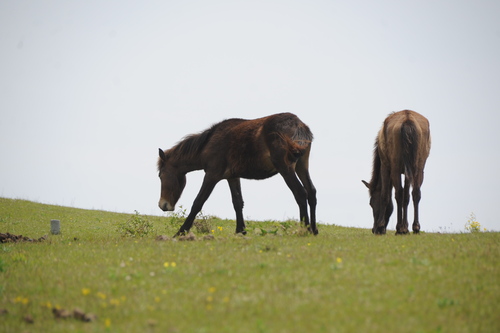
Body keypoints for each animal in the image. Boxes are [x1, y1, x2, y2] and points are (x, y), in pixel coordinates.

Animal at [158, 113, 318, 236]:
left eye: (160, 175)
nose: (163, 205)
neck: (208, 144)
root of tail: (298, 124)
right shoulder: (232, 177)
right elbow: (237, 202)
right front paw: (240, 231)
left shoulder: (211, 175)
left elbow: (198, 202)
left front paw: (180, 232)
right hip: (301, 166)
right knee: (311, 192)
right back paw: (314, 230)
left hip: (286, 169)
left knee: (300, 193)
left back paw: (304, 230)